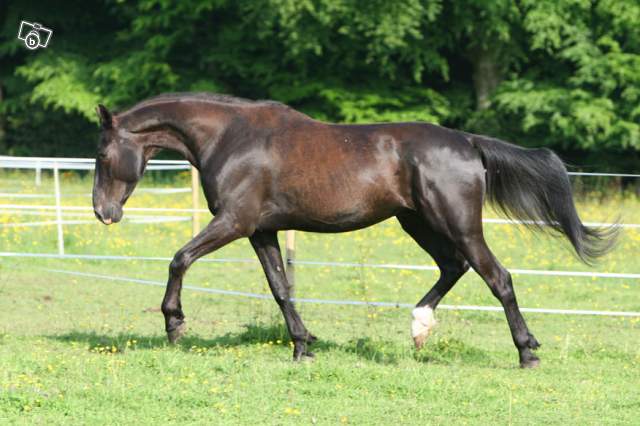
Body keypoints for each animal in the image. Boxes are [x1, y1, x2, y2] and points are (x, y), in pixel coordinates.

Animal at [92, 92, 617, 368]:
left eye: (101, 153)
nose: (103, 212)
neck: (230, 138)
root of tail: (467, 141)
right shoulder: (260, 231)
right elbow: (281, 288)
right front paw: (303, 346)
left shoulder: (233, 222)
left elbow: (179, 258)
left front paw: (174, 325)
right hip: (417, 221)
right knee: (454, 267)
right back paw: (419, 329)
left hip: (456, 222)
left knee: (497, 277)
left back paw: (526, 352)